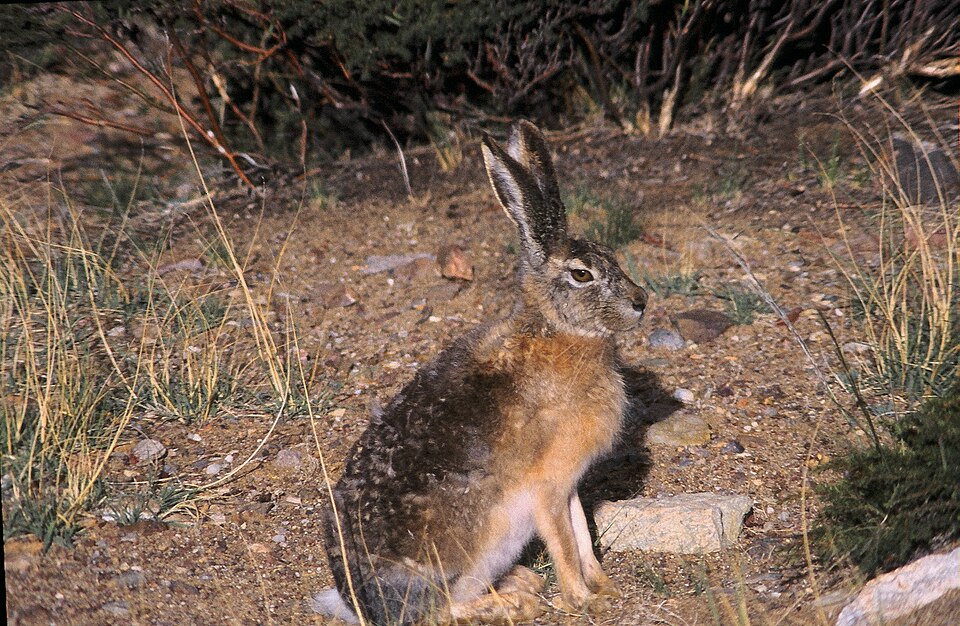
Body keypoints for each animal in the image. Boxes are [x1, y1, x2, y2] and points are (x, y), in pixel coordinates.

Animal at [316, 120, 647, 625]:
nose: (641, 302)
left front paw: (605, 586)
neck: (555, 330)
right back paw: (516, 600)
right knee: (442, 612)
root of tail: (366, 608)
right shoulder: (548, 486)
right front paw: (582, 600)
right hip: (473, 545)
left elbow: (582, 534)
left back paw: (521, 582)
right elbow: (565, 543)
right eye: (581, 275)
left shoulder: (570, 481)